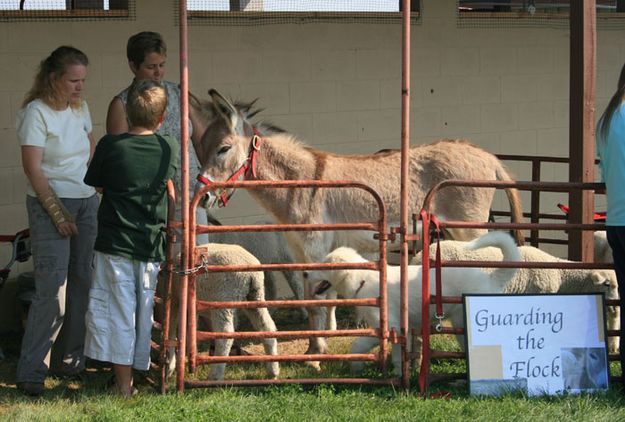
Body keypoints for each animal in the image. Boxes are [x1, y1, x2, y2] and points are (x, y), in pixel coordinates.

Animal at [168, 242, 280, 380]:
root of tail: (251, 273)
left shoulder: (175, 300)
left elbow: (172, 330)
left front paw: (170, 366)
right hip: (255, 296)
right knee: (267, 327)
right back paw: (273, 371)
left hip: (223, 298)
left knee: (225, 335)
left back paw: (215, 375)